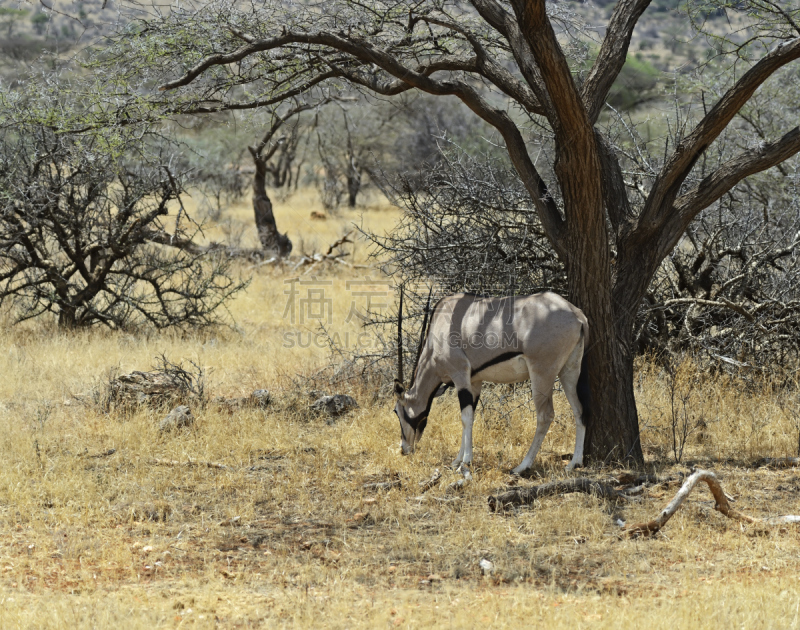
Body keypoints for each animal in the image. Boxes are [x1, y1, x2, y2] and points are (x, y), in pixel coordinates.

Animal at [390, 292, 592, 474]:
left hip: (541, 373)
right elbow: (470, 416)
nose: (404, 449)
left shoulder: (460, 374)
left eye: (397, 411)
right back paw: (574, 463)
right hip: (569, 370)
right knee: (579, 410)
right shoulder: (474, 381)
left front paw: (465, 462)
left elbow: (465, 418)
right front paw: (457, 460)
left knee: (545, 415)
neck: (437, 332)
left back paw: (522, 466)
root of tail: (577, 314)